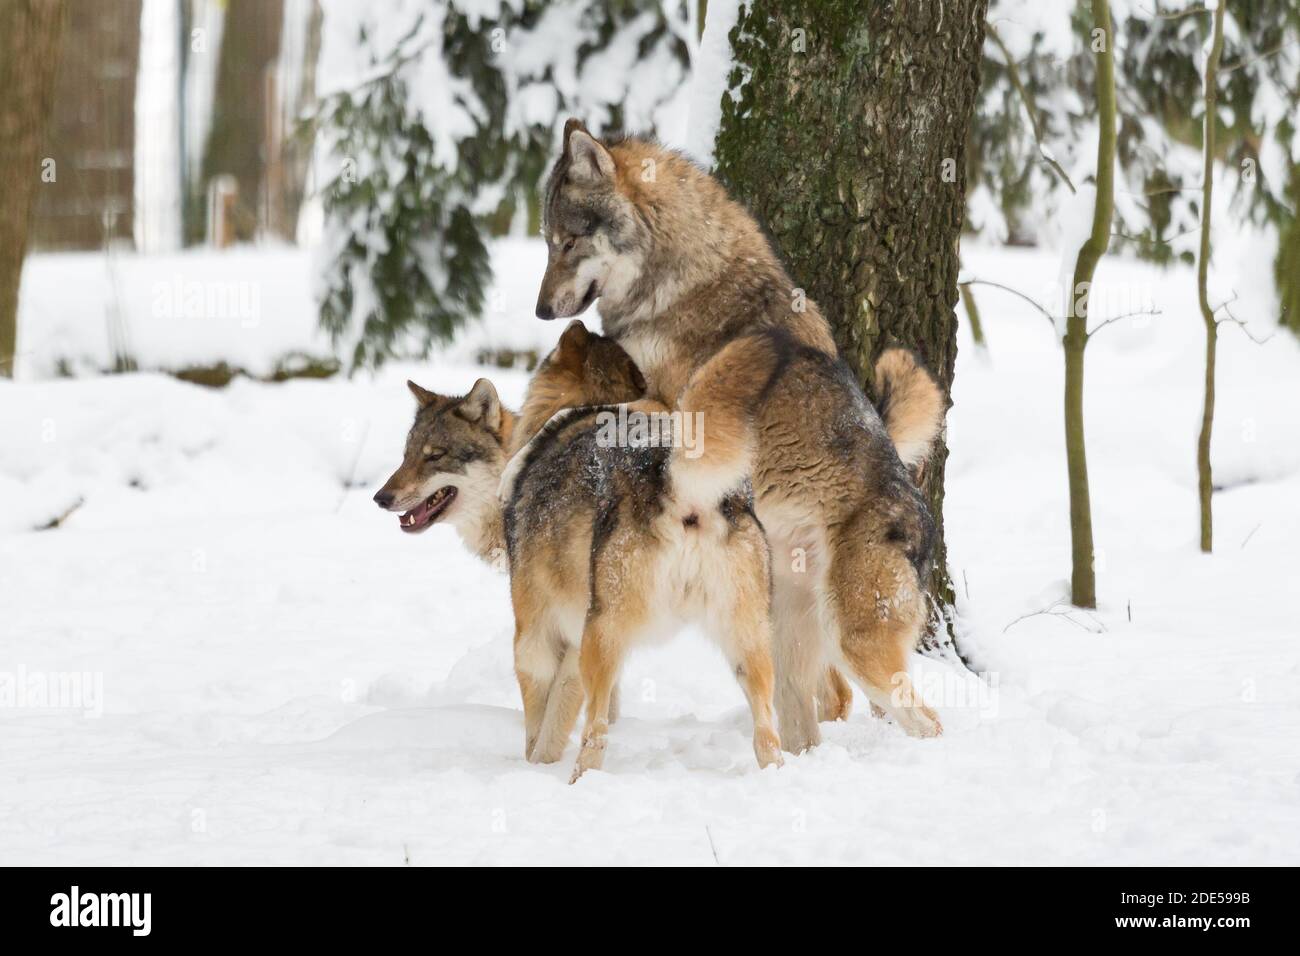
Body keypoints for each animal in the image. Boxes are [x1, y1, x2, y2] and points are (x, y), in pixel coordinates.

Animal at [374, 321, 782, 781]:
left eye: (435, 457)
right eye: (406, 456)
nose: (380, 497)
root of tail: (674, 479)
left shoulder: (537, 633)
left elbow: (543, 724)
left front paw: (534, 769)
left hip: (602, 637)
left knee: (595, 735)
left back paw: (579, 781)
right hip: (749, 646)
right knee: (768, 736)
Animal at [535, 120, 947, 753]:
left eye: (568, 242)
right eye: (546, 241)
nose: (538, 310)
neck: (676, 281)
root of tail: (924, 523)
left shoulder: (683, 412)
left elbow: (600, 407)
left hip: (859, 645)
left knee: (924, 720)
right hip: (785, 631)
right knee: (808, 715)